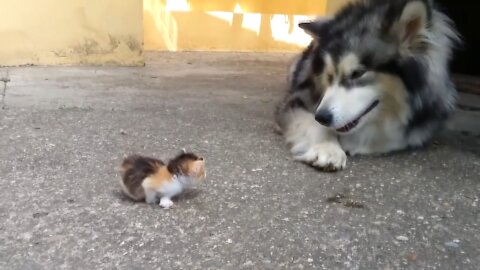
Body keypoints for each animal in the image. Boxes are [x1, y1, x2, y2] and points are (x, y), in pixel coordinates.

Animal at [276, 0, 460, 171]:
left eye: (357, 73)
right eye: (328, 76)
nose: (322, 117)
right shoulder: (298, 98)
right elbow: (314, 125)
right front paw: (328, 149)